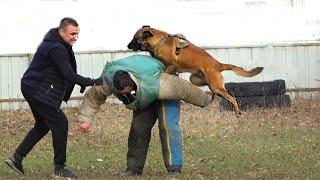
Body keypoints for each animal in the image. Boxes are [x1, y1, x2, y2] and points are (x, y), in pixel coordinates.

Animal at [127, 26, 262, 117]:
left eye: (135, 38)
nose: (128, 46)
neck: (160, 42)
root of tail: (218, 64)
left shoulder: (171, 65)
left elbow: (165, 73)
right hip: (196, 80)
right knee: (219, 92)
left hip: (215, 86)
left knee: (232, 98)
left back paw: (237, 112)